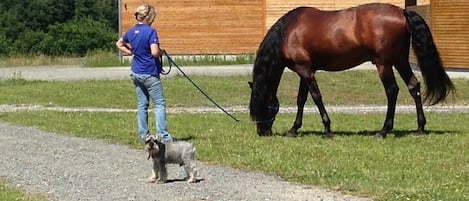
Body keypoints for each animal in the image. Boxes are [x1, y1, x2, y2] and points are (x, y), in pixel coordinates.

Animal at [249, 3, 454, 138]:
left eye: (259, 105)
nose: (262, 131)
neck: (288, 32)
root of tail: (402, 11)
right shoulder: (306, 70)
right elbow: (302, 99)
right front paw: (294, 129)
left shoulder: (305, 70)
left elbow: (316, 97)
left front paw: (327, 129)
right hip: (400, 61)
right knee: (413, 86)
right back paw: (420, 128)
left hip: (384, 64)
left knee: (392, 91)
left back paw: (383, 131)